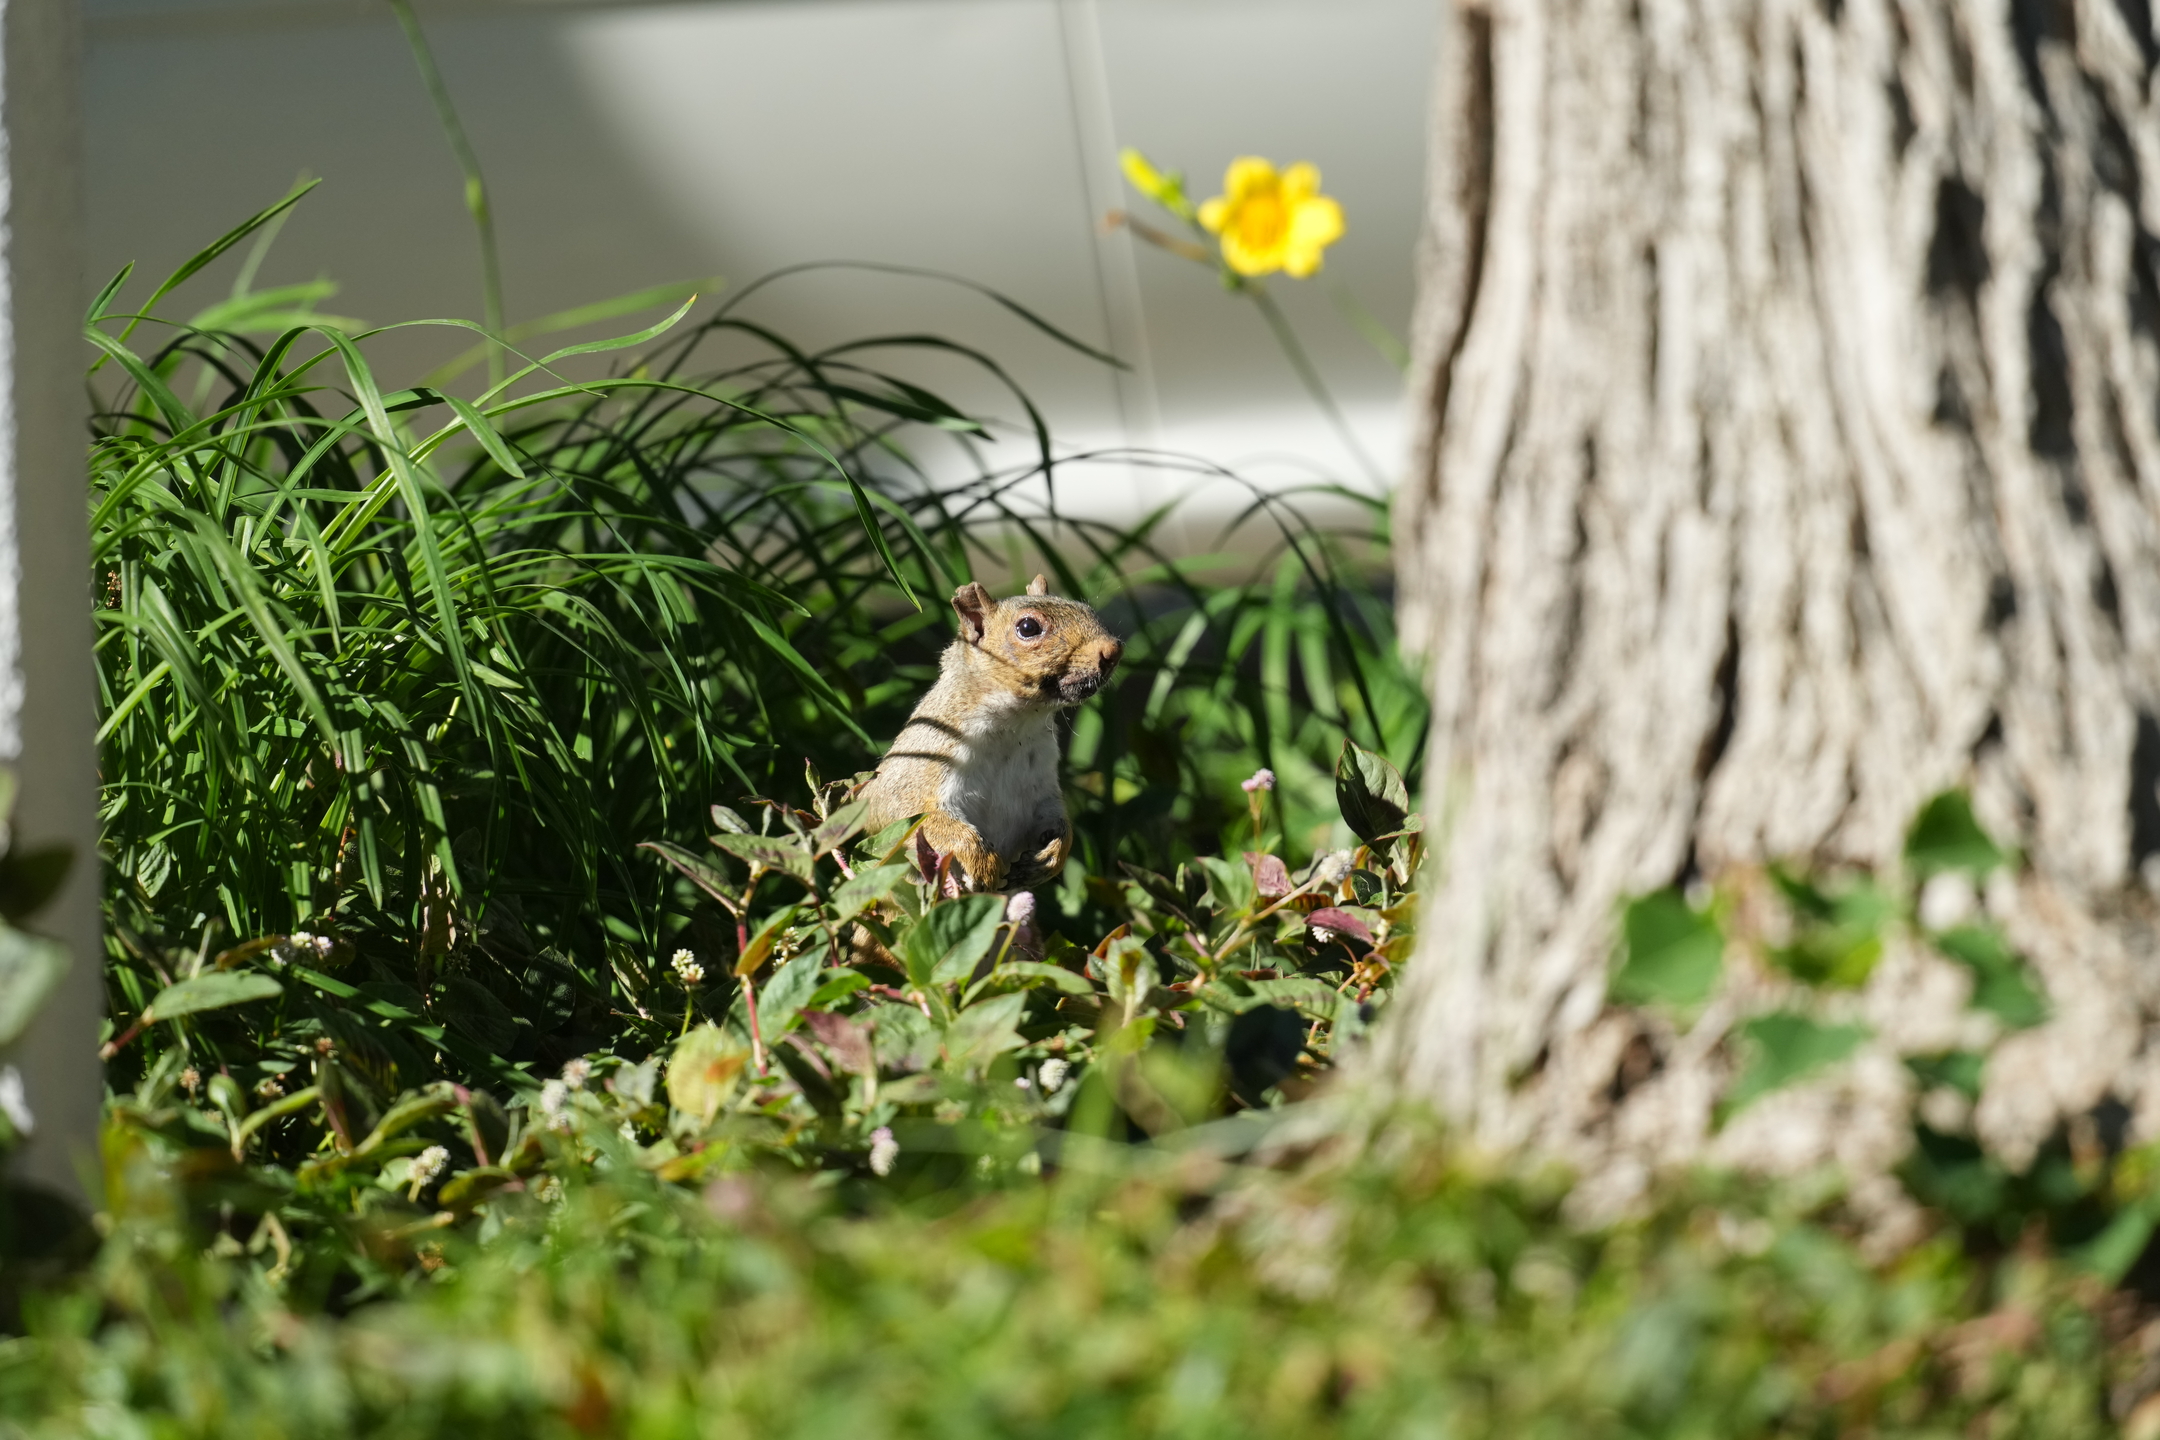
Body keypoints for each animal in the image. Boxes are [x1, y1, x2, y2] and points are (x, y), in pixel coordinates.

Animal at [856, 575, 1123, 892]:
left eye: (1086, 609)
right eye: (1028, 627)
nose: (1113, 650)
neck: (1014, 727)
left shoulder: (1042, 783)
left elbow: (1054, 816)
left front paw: (1054, 854)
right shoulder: (924, 760)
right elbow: (903, 812)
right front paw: (981, 861)